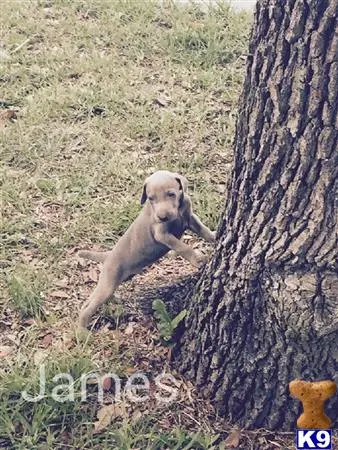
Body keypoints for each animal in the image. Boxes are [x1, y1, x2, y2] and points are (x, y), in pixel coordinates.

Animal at [78, 171, 215, 328]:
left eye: (171, 194)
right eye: (151, 198)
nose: (162, 217)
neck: (178, 211)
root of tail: (107, 256)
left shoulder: (190, 218)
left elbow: (203, 230)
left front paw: (214, 236)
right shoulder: (161, 234)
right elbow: (183, 247)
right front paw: (198, 259)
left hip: (113, 282)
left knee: (90, 301)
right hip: (108, 282)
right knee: (88, 307)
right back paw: (81, 330)